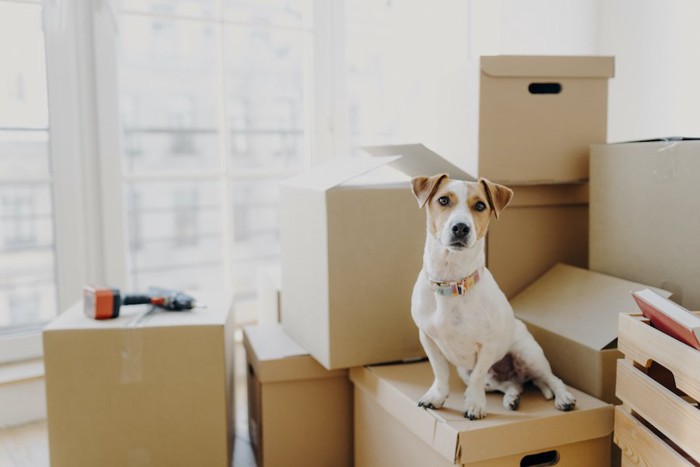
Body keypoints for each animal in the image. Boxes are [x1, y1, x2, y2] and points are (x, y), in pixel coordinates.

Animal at [408, 173, 576, 420]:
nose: (461, 227)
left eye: (480, 205)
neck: (452, 283)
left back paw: (564, 398)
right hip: (473, 373)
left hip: (529, 355)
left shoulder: (487, 346)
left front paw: (475, 404)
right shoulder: (428, 338)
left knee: (552, 379)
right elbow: (440, 372)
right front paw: (437, 396)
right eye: (443, 200)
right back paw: (512, 397)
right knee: (511, 384)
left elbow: (477, 378)